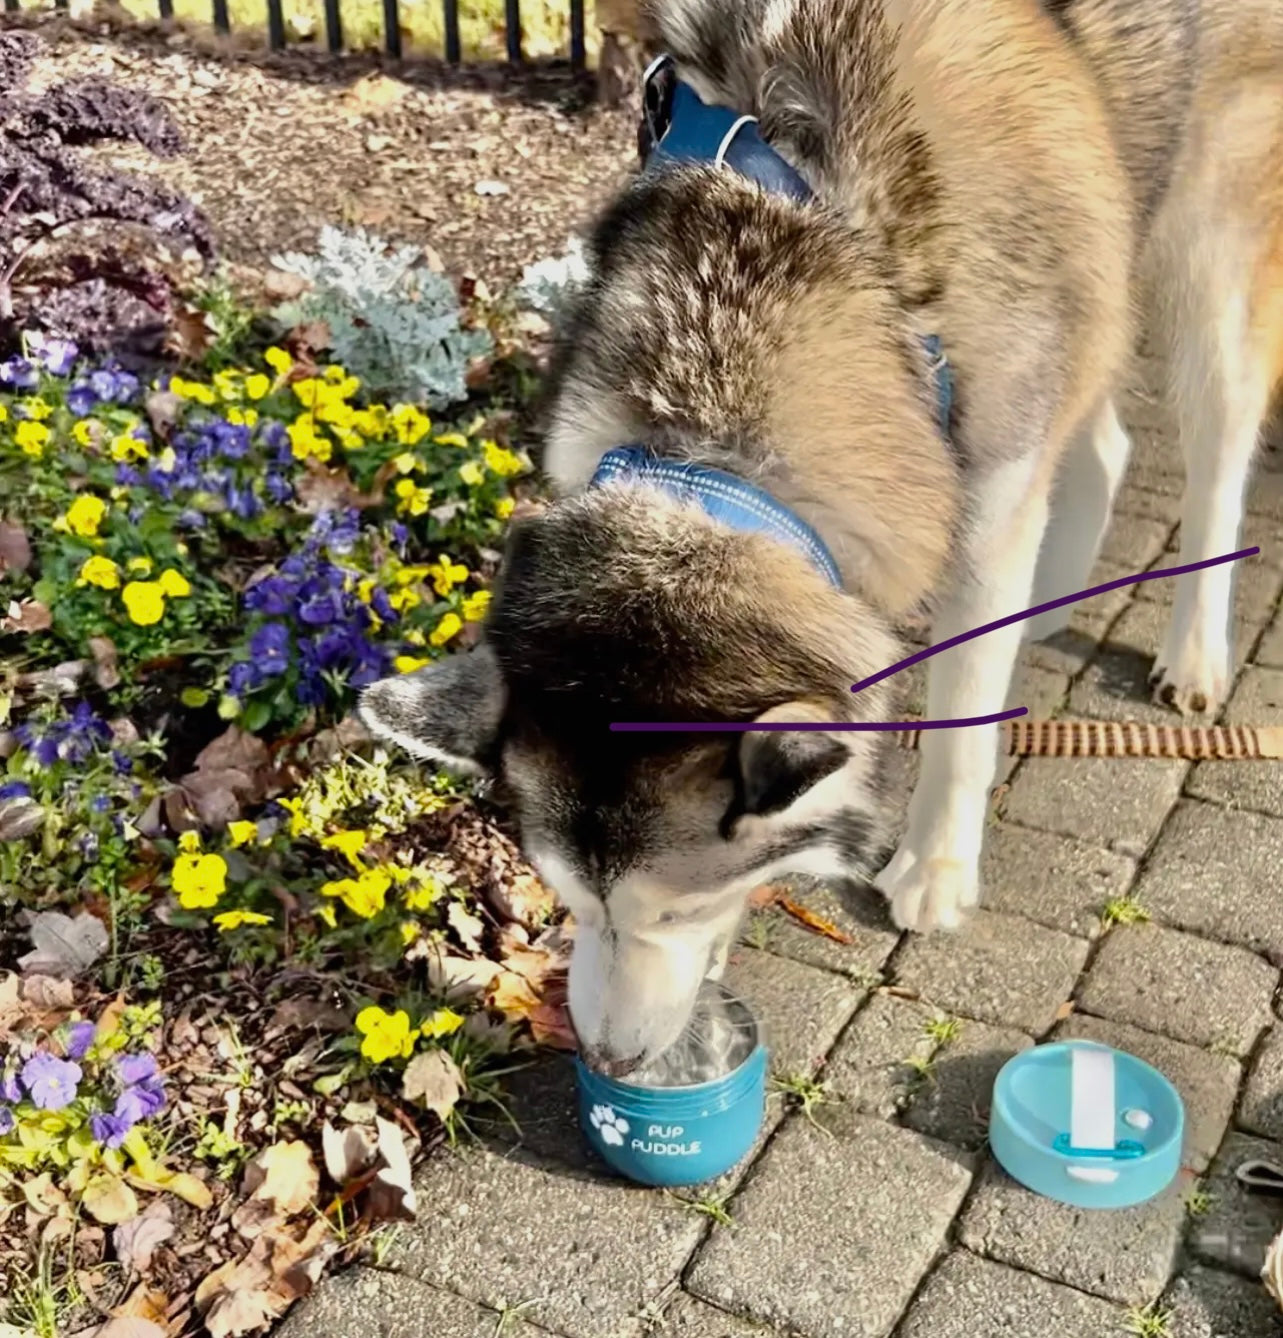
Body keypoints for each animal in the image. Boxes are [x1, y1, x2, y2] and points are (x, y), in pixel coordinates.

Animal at [358, 0, 1283, 1075]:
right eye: (570, 899)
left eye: (679, 909)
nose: (612, 1062)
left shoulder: (987, 494)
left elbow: (962, 705)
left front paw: (936, 864)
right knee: (1104, 433)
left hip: (1205, 269)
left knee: (1214, 459)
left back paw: (1194, 653)